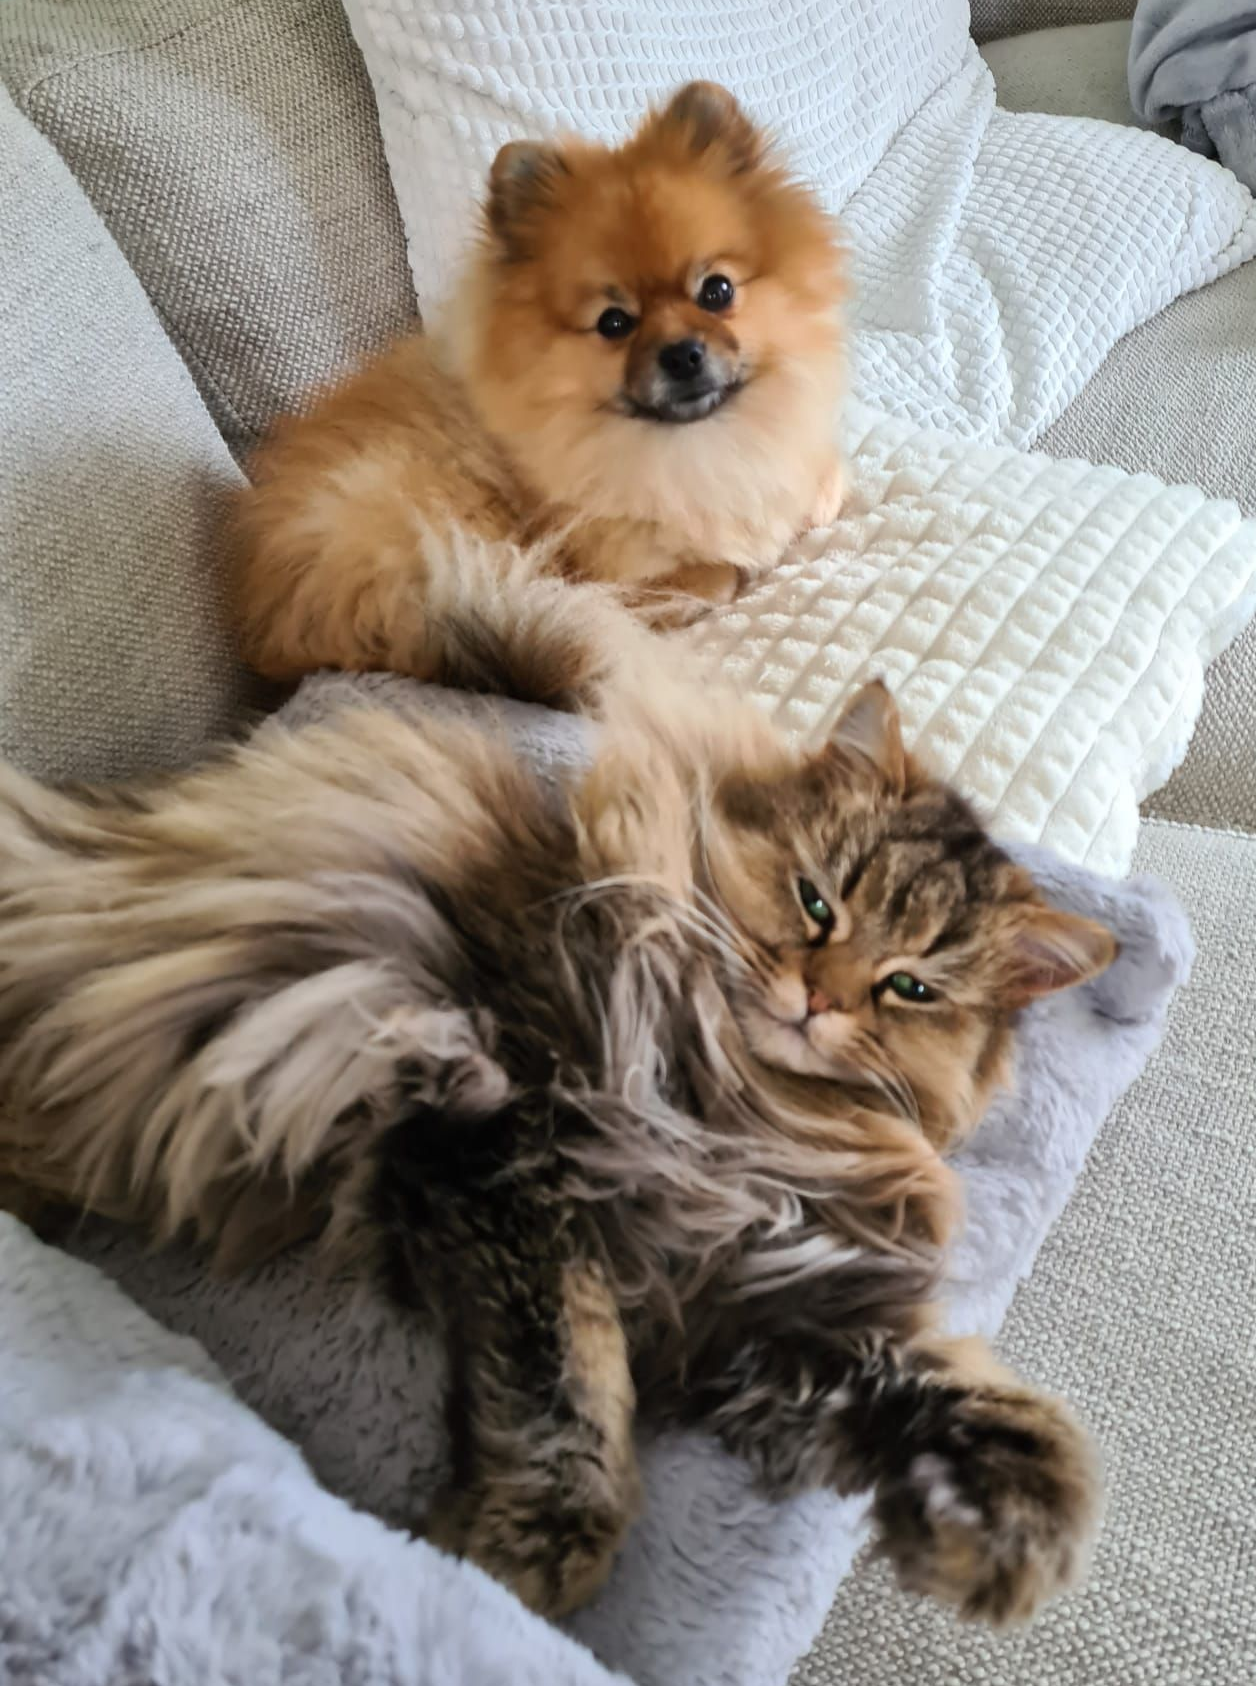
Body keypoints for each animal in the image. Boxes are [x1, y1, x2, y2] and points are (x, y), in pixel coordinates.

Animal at [0, 674, 1114, 1625]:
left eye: (910, 988)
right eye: (815, 902)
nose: (817, 1000)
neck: (742, 1110)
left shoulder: (769, 1311)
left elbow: (984, 1401)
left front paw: (998, 1534)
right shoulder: (509, 1155)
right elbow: (572, 1392)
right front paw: (513, 1560)